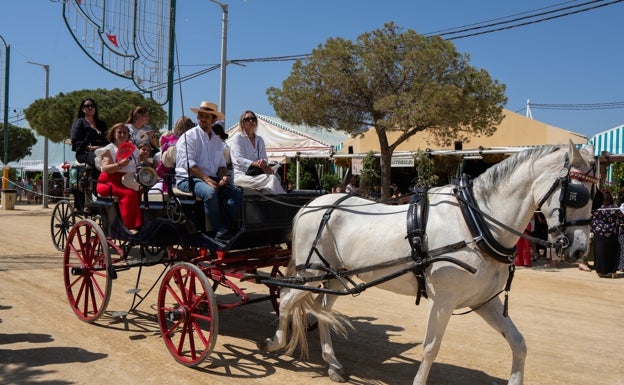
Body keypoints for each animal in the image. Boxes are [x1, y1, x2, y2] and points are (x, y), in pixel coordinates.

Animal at [260, 142, 600, 382]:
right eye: (576, 193)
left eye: (594, 191)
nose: (580, 249)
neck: (475, 223)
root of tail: (313, 204)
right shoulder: (443, 301)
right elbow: (430, 348)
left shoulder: (484, 301)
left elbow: (518, 343)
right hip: (312, 272)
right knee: (287, 299)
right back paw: (274, 344)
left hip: (332, 277)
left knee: (323, 312)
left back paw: (332, 363)